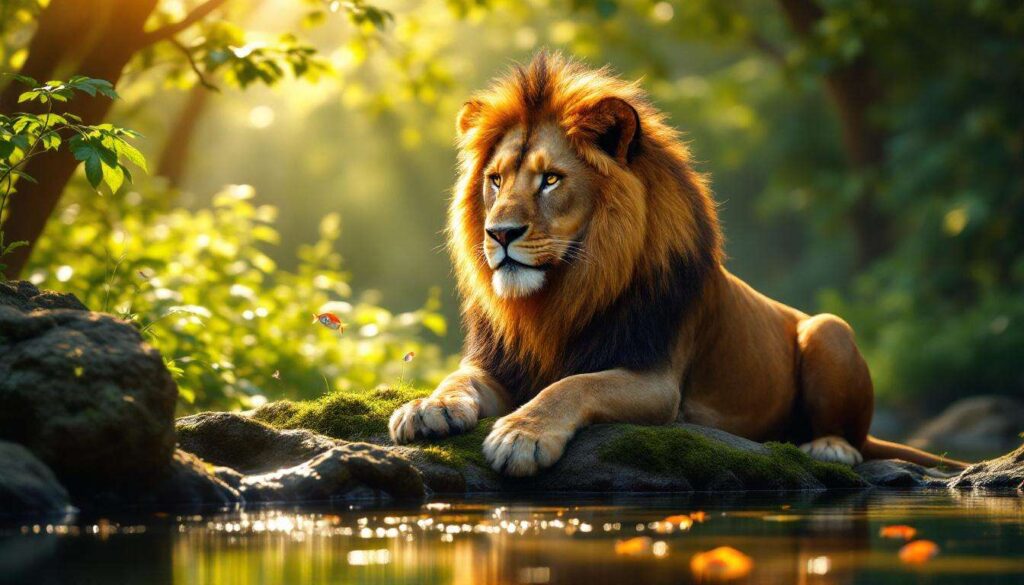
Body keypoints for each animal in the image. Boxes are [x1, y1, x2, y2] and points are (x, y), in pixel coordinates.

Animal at [388, 52, 967, 477]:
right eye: (495, 180)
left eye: (551, 179)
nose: (499, 234)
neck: (562, 293)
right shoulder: (495, 363)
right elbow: (456, 378)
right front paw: (426, 407)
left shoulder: (657, 380)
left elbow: (574, 384)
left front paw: (521, 434)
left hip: (828, 329)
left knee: (855, 436)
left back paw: (829, 448)